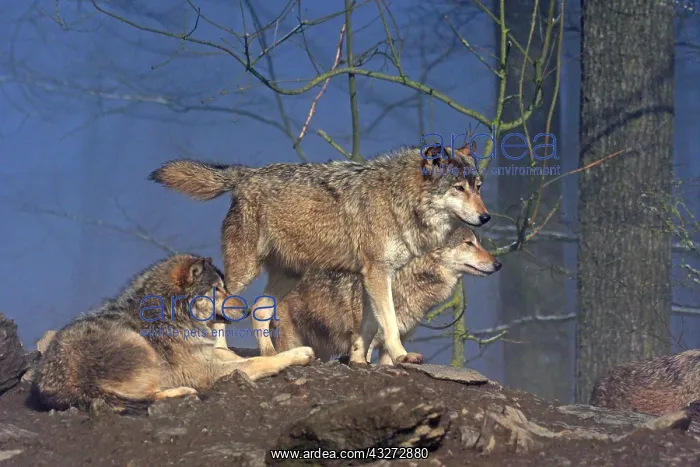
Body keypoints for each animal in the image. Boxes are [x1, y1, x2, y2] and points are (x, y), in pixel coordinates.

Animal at [31, 254, 315, 414]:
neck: (171, 313)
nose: (247, 310)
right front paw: (297, 354)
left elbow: (237, 356)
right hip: (141, 348)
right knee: (149, 396)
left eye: (224, 287)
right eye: (217, 289)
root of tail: (71, 384)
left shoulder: (205, 355)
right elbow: (259, 361)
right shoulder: (203, 371)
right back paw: (182, 392)